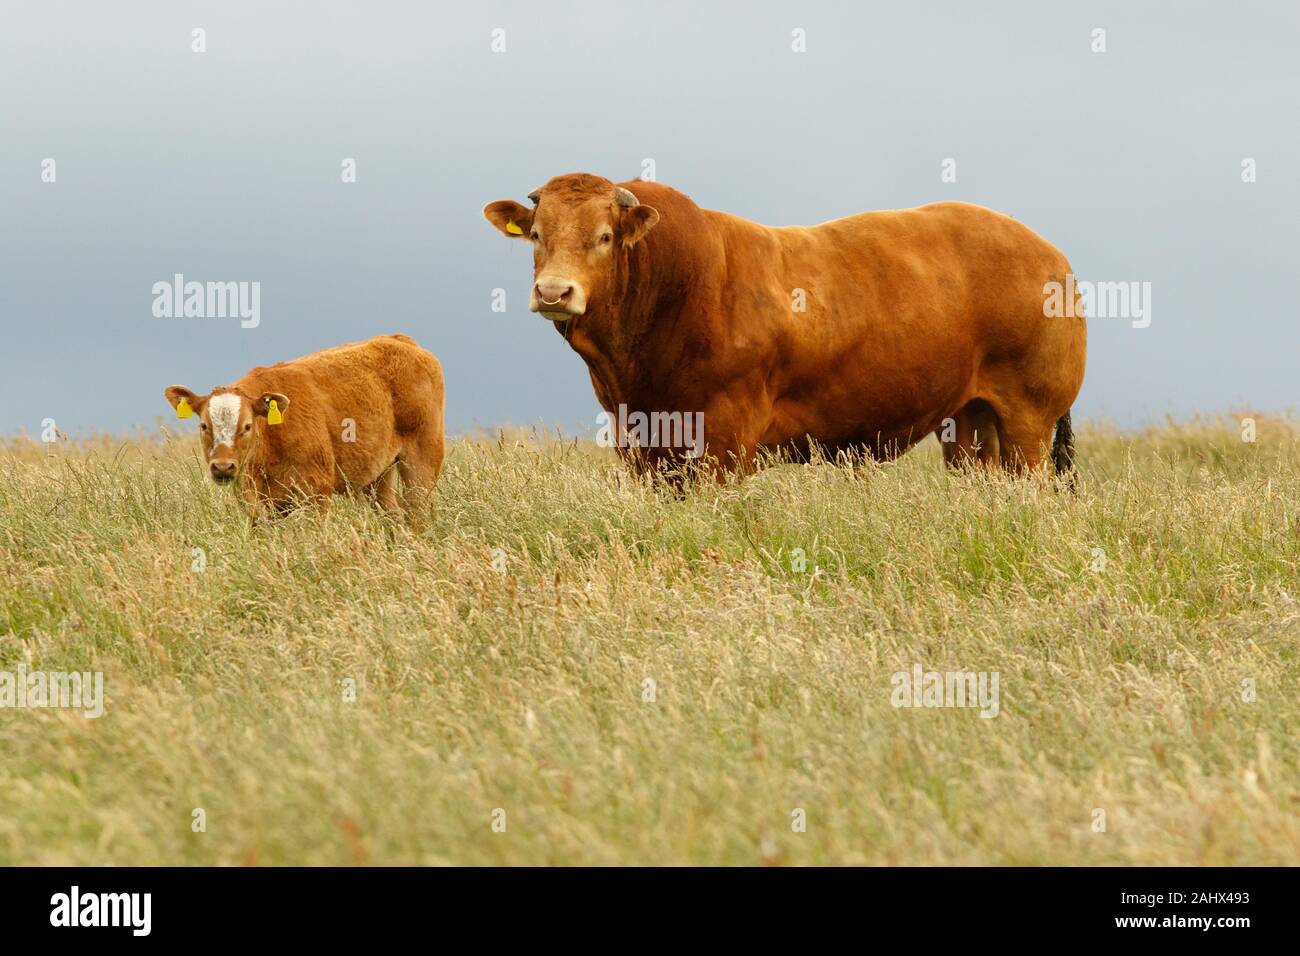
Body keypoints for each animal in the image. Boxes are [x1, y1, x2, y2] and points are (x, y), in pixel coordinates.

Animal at [488, 172, 1086, 478]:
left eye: (605, 236)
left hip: (1029, 418)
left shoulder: (723, 440)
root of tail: (1048, 252)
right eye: (537, 234)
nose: (554, 292)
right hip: (970, 422)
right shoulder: (640, 443)